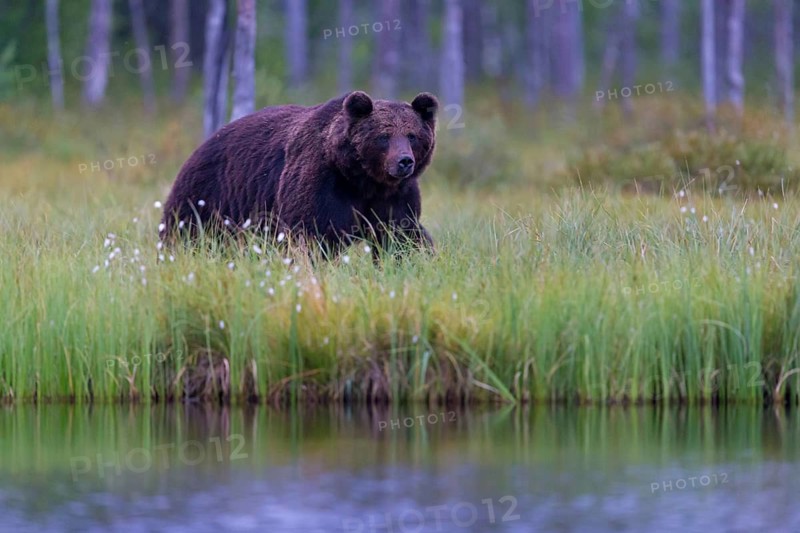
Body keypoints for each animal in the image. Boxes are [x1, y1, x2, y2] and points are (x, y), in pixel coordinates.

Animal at [160, 90, 439, 255]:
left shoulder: (394, 196)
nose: (404, 162)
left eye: (412, 135)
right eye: (384, 136)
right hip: (207, 198)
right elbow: (311, 234)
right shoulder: (323, 183)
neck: (362, 179)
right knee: (185, 234)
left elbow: (401, 236)